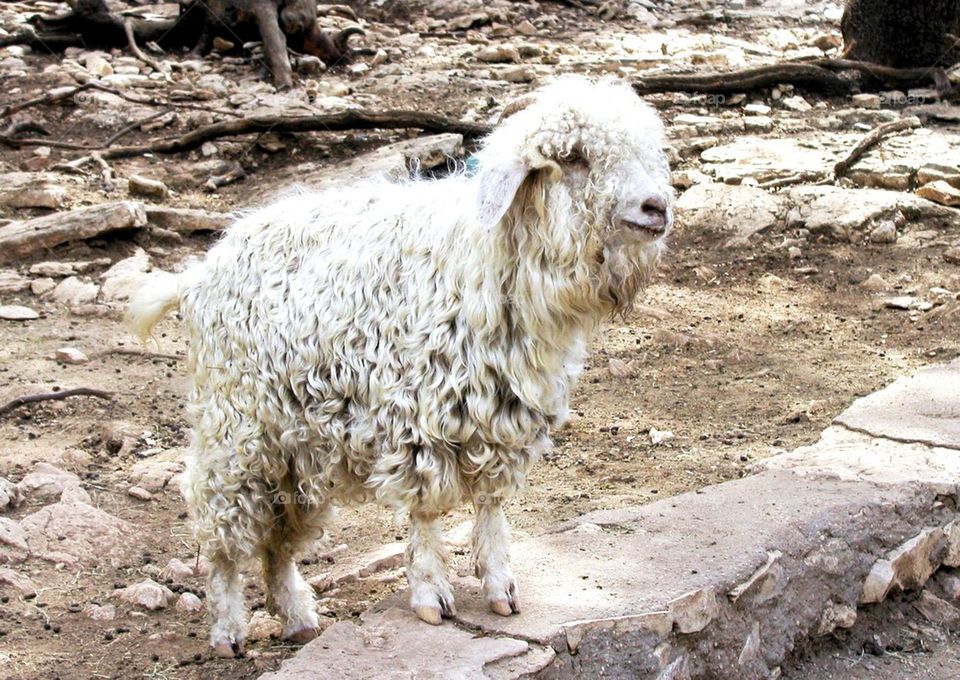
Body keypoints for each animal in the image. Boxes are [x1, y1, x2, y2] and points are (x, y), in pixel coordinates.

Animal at [126, 75, 674, 658]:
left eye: (646, 151)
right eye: (573, 157)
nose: (656, 207)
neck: (486, 259)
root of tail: (197, 275)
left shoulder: (502, 417)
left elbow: (491, 506)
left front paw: (500, 586)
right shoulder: (419, 419)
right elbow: (427, 512)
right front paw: (431, 595)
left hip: (297, 444)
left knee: (280, 534)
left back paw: (297, 616)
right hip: (237, 429)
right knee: (223, 531)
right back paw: (229, 628)